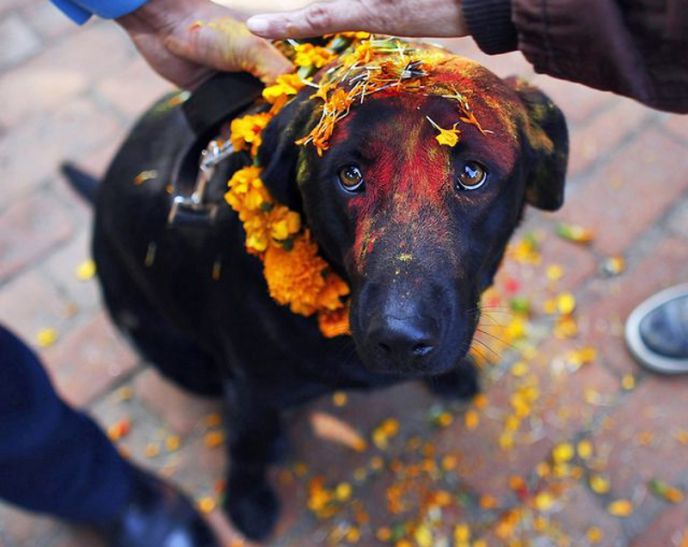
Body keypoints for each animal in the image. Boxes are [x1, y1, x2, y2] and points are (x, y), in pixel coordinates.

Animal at [67, 45, 568, 540]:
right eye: (349, 175)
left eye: (472, 173)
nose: (399, 339)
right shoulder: (252, 389)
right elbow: (247, 444)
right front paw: (246, 500)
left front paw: (451, 376)